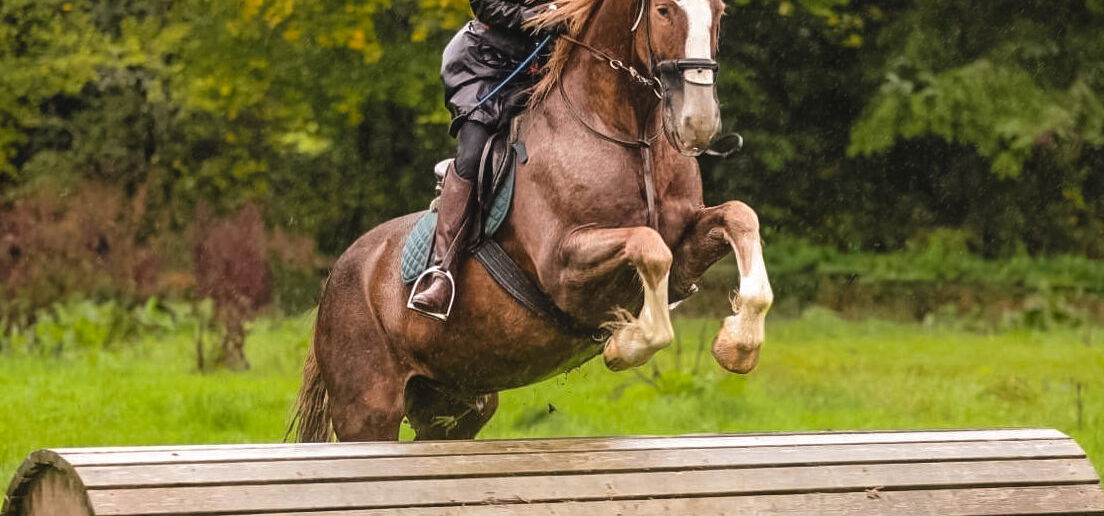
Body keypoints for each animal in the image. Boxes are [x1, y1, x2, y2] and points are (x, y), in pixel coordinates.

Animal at [291, 0, 773, 442]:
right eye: (663, 10)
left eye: (721, 11)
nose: (699, 122)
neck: (629, 136)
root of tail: (338, 273)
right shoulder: (564, 269)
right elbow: (648, 247)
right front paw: (625, 345)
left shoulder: (686, 249)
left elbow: (739, 217)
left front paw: (738, 346)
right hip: (367, 408)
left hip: (454, 405)